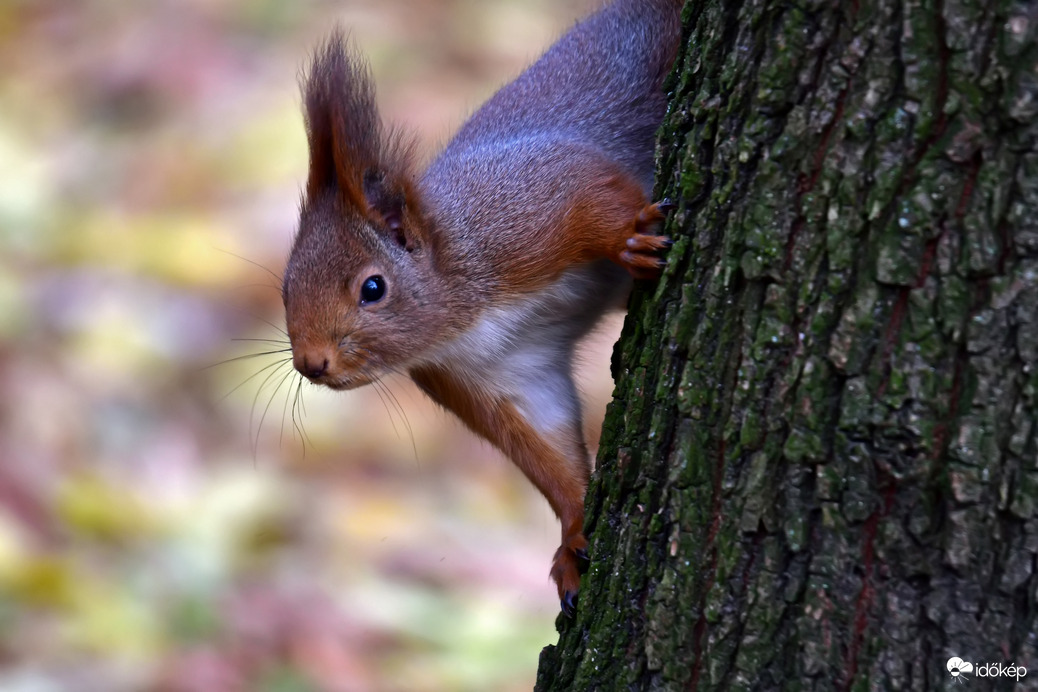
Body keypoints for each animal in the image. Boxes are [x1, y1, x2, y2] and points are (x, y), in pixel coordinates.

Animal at [284, 0, 685, 618]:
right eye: (285, 287)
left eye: (373, 288)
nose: (311, 363)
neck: (464, 319)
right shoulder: (493, 376)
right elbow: (546, 445)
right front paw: (573, 536)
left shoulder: (529, 203)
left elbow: (589, 190)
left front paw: (627, 242)